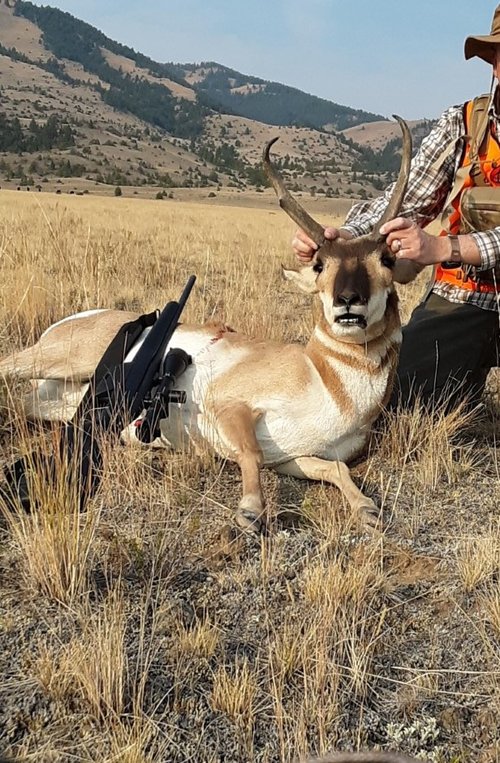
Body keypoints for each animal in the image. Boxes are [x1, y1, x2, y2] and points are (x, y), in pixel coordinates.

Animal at [0, 118, 418, 534]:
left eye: (386, 259)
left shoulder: (292, 457)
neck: (322, 377)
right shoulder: (230, 406)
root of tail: (77, 318)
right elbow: (250, 453)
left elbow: (336, 469)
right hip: (65, 360)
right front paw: (250, 510)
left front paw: (367, 508)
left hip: (50, 399)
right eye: (319, 265)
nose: (348, 300)